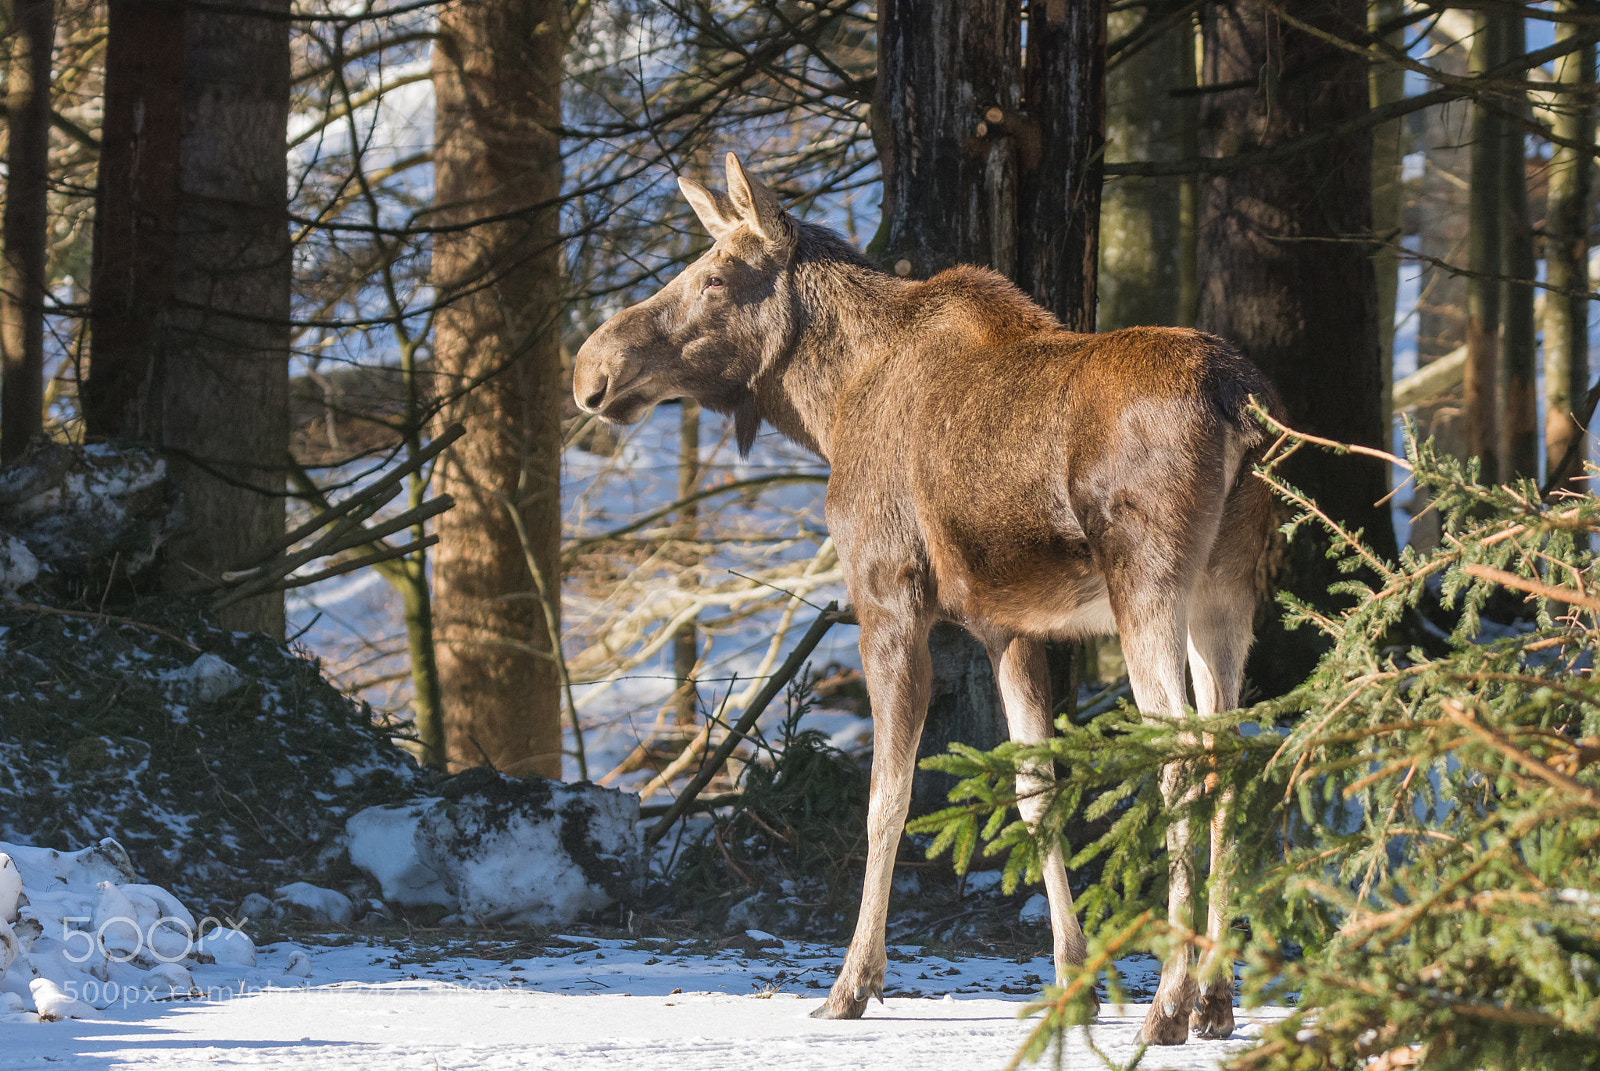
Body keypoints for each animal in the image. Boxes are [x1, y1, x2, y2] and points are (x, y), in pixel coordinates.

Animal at [573, 153, 1278, 1045]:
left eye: (716, 276)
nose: (589, 371)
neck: (828, 404)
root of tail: (1239, 403)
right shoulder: (1010, 624)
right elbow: (1032, 792)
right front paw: (1072, 978)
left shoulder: (886, 591)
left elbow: (889, 794)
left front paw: (852, 981)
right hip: (1225, 590)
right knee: (1233, 757)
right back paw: (1217, 1000)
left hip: (1146, 578)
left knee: (1183, 762)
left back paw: (1169, 1003)